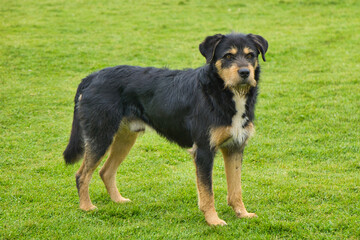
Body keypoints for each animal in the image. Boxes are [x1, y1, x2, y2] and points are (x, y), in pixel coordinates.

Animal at [64, 31, 268, 225]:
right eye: (228, 56)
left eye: (250, 55)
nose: (245, 72)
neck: (220, 92)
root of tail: (91, 77)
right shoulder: (203, 151)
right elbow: (207, 192)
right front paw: (213, 221)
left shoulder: (235, 147)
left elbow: (236, 189)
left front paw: (242, 214)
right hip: (100, 136)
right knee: (81, 175)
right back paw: (86, 207)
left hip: (125, 138)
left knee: (105, 171)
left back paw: (118, 201)